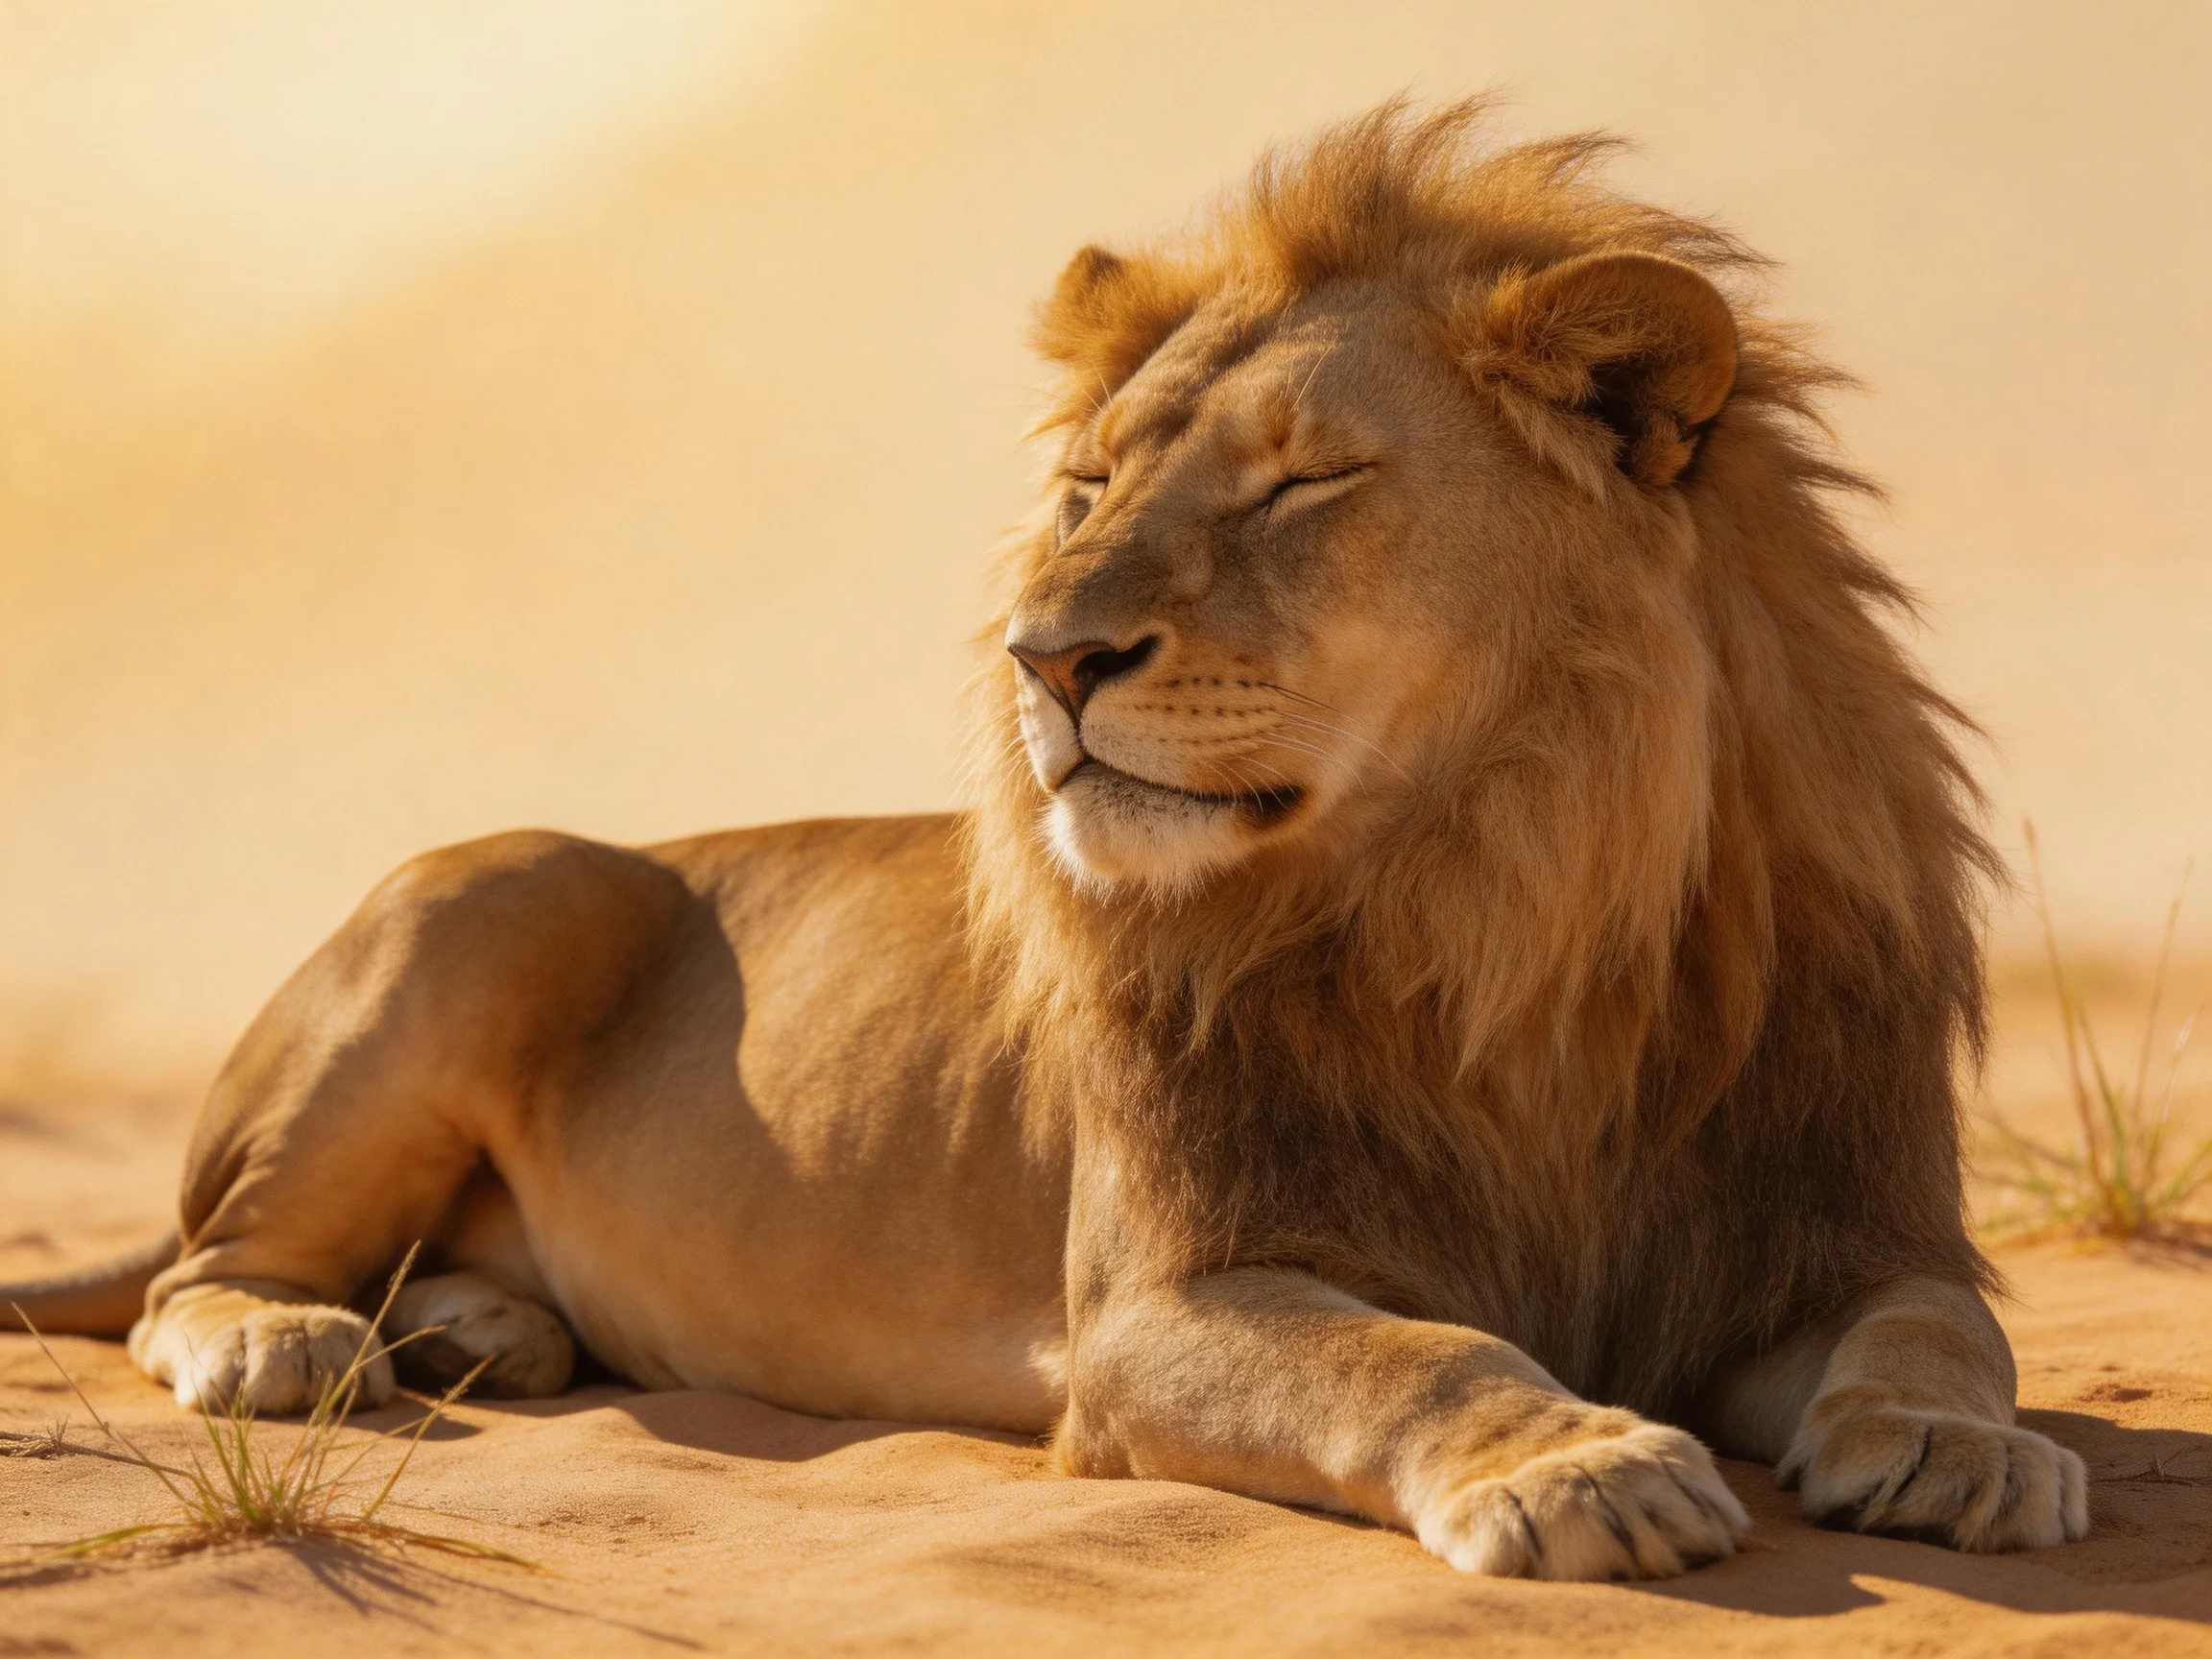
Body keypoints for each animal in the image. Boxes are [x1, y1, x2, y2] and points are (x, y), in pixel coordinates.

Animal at [4, 100, 2086, 1580]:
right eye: (1086, 488)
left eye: (1303, 480)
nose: (1045, 650)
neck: (1504, 909)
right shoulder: (1152, 1317)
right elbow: (1417, 1352)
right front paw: (1584, 1463)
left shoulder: (1832, 1225)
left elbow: (1943, 1329)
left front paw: (1968, 1452)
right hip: (499, 886)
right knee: (196, 1274)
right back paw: (298, 1348)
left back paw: (474, 1336)